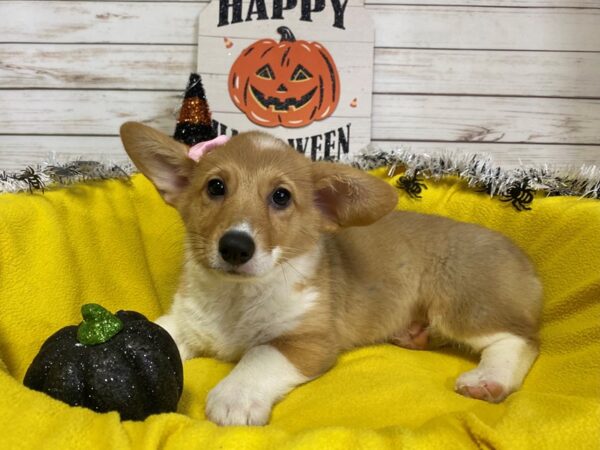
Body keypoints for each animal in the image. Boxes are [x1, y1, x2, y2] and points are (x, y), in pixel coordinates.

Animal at [119, 122, 540, 426]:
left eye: (281, 196)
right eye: (215, 187)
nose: (235, 247)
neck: (237, 297)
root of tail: (525, 262)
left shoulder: (311, 341)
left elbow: (260, 353)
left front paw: (235, 396)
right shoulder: (186, 323)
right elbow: (160, 329)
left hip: (463, 305)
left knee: (520, 339)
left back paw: (488, 380)